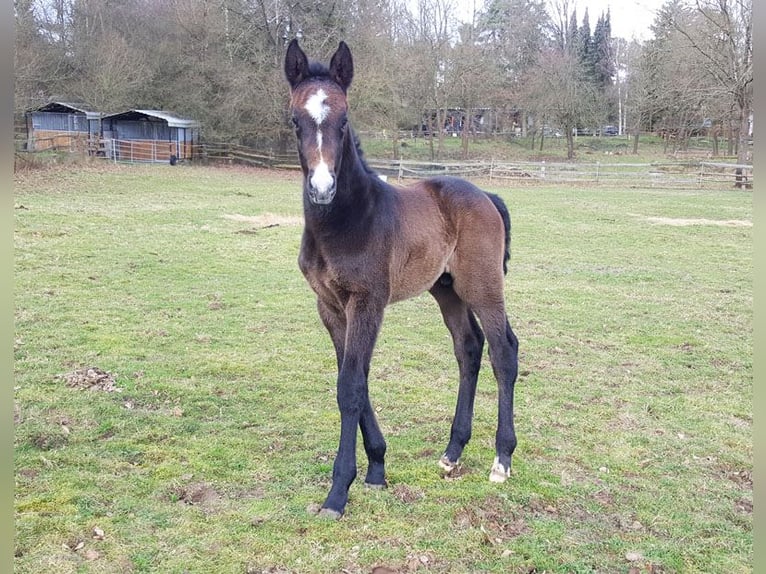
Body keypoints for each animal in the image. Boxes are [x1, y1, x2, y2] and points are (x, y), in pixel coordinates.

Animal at [284, 38, 520, 520]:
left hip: (483, 286)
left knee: (505, 351)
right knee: (469, 349)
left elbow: (350, 387)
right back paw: (452, 453)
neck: (345, 220)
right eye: (295, 121)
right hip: (447, 291)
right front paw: (376, 468)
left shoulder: (367, 302)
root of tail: (486, 195)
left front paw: (338, 492)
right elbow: (354, 379)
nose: (322, 188)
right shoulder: (330, 305)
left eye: (344, 119)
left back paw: (501, 459)